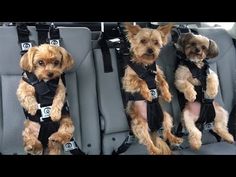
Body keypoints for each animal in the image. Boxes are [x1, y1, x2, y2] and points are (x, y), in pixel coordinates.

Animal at [122, 23, 183, 155]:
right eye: (143, 41)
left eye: (156, 42)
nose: (150, 50)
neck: (146, 65)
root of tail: (153, 128)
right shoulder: (128, 80)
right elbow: (141, 81)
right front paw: (147, 93)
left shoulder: (158, 73)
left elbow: (163, 82)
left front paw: (167, 95)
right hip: (140, 125)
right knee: (147, 141)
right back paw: (155, 150)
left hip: (165, 117)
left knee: (166, 132)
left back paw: (174, 138)